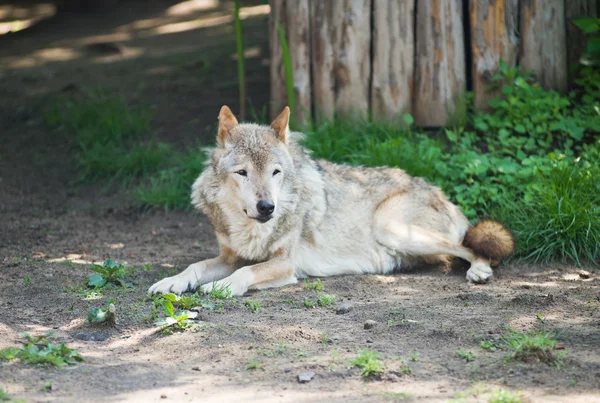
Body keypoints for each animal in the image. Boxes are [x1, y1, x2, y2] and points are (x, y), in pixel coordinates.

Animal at [148, 105, 512, 298]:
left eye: (276, 172)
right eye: (242, 173)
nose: (268, 208)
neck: (249, 228)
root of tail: (440, 193)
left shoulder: (285, 264)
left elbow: (245, 273)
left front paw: (221, 287)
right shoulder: (230, 256)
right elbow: (195, 267)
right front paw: (171, 282)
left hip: (393, 229)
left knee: (474, 248)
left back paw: (479, 270)